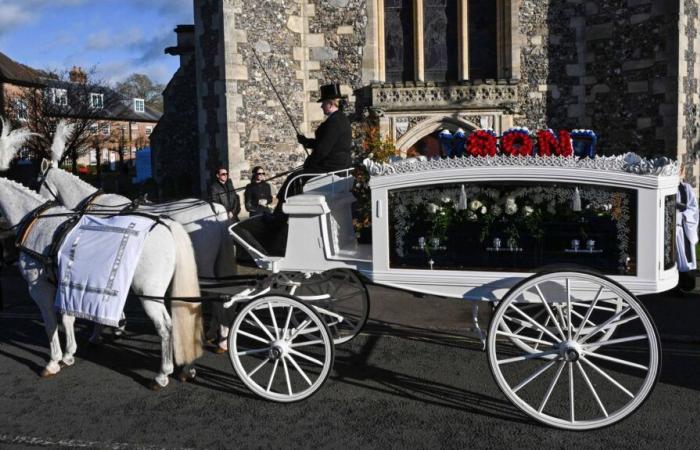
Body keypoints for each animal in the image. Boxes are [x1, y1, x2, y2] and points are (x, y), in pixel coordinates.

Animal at [0, 122, 204, 386]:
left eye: (38, 182)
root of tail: (166, 225)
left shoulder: (41, 287)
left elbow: (51, 323)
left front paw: (55, 360)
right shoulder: (69, 282)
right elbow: (70, 316)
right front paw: (74, 350)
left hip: (149, 292)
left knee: (166, 327)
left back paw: (162, 373)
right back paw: (187, 367)